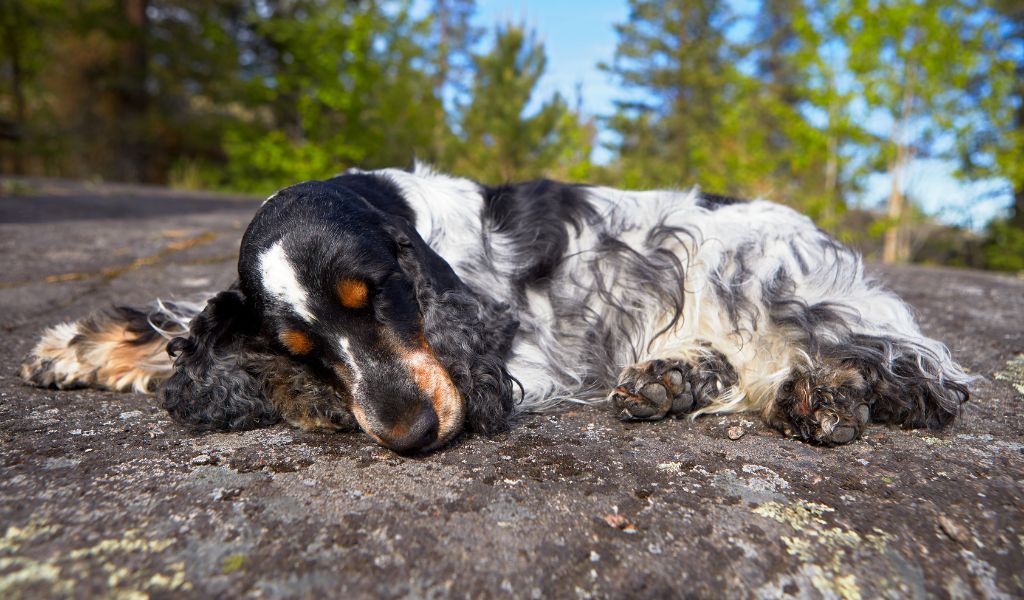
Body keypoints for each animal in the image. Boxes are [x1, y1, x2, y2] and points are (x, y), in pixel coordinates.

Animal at [19, 163, 970, 448]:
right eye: (302, 341)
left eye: (380, 296)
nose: (408, 433)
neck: (403, 217)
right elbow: (192, 327)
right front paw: (78, 348)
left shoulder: (514, 359)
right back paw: (672, 379)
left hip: (762, 276)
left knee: (914, 365)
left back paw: (825, 393)